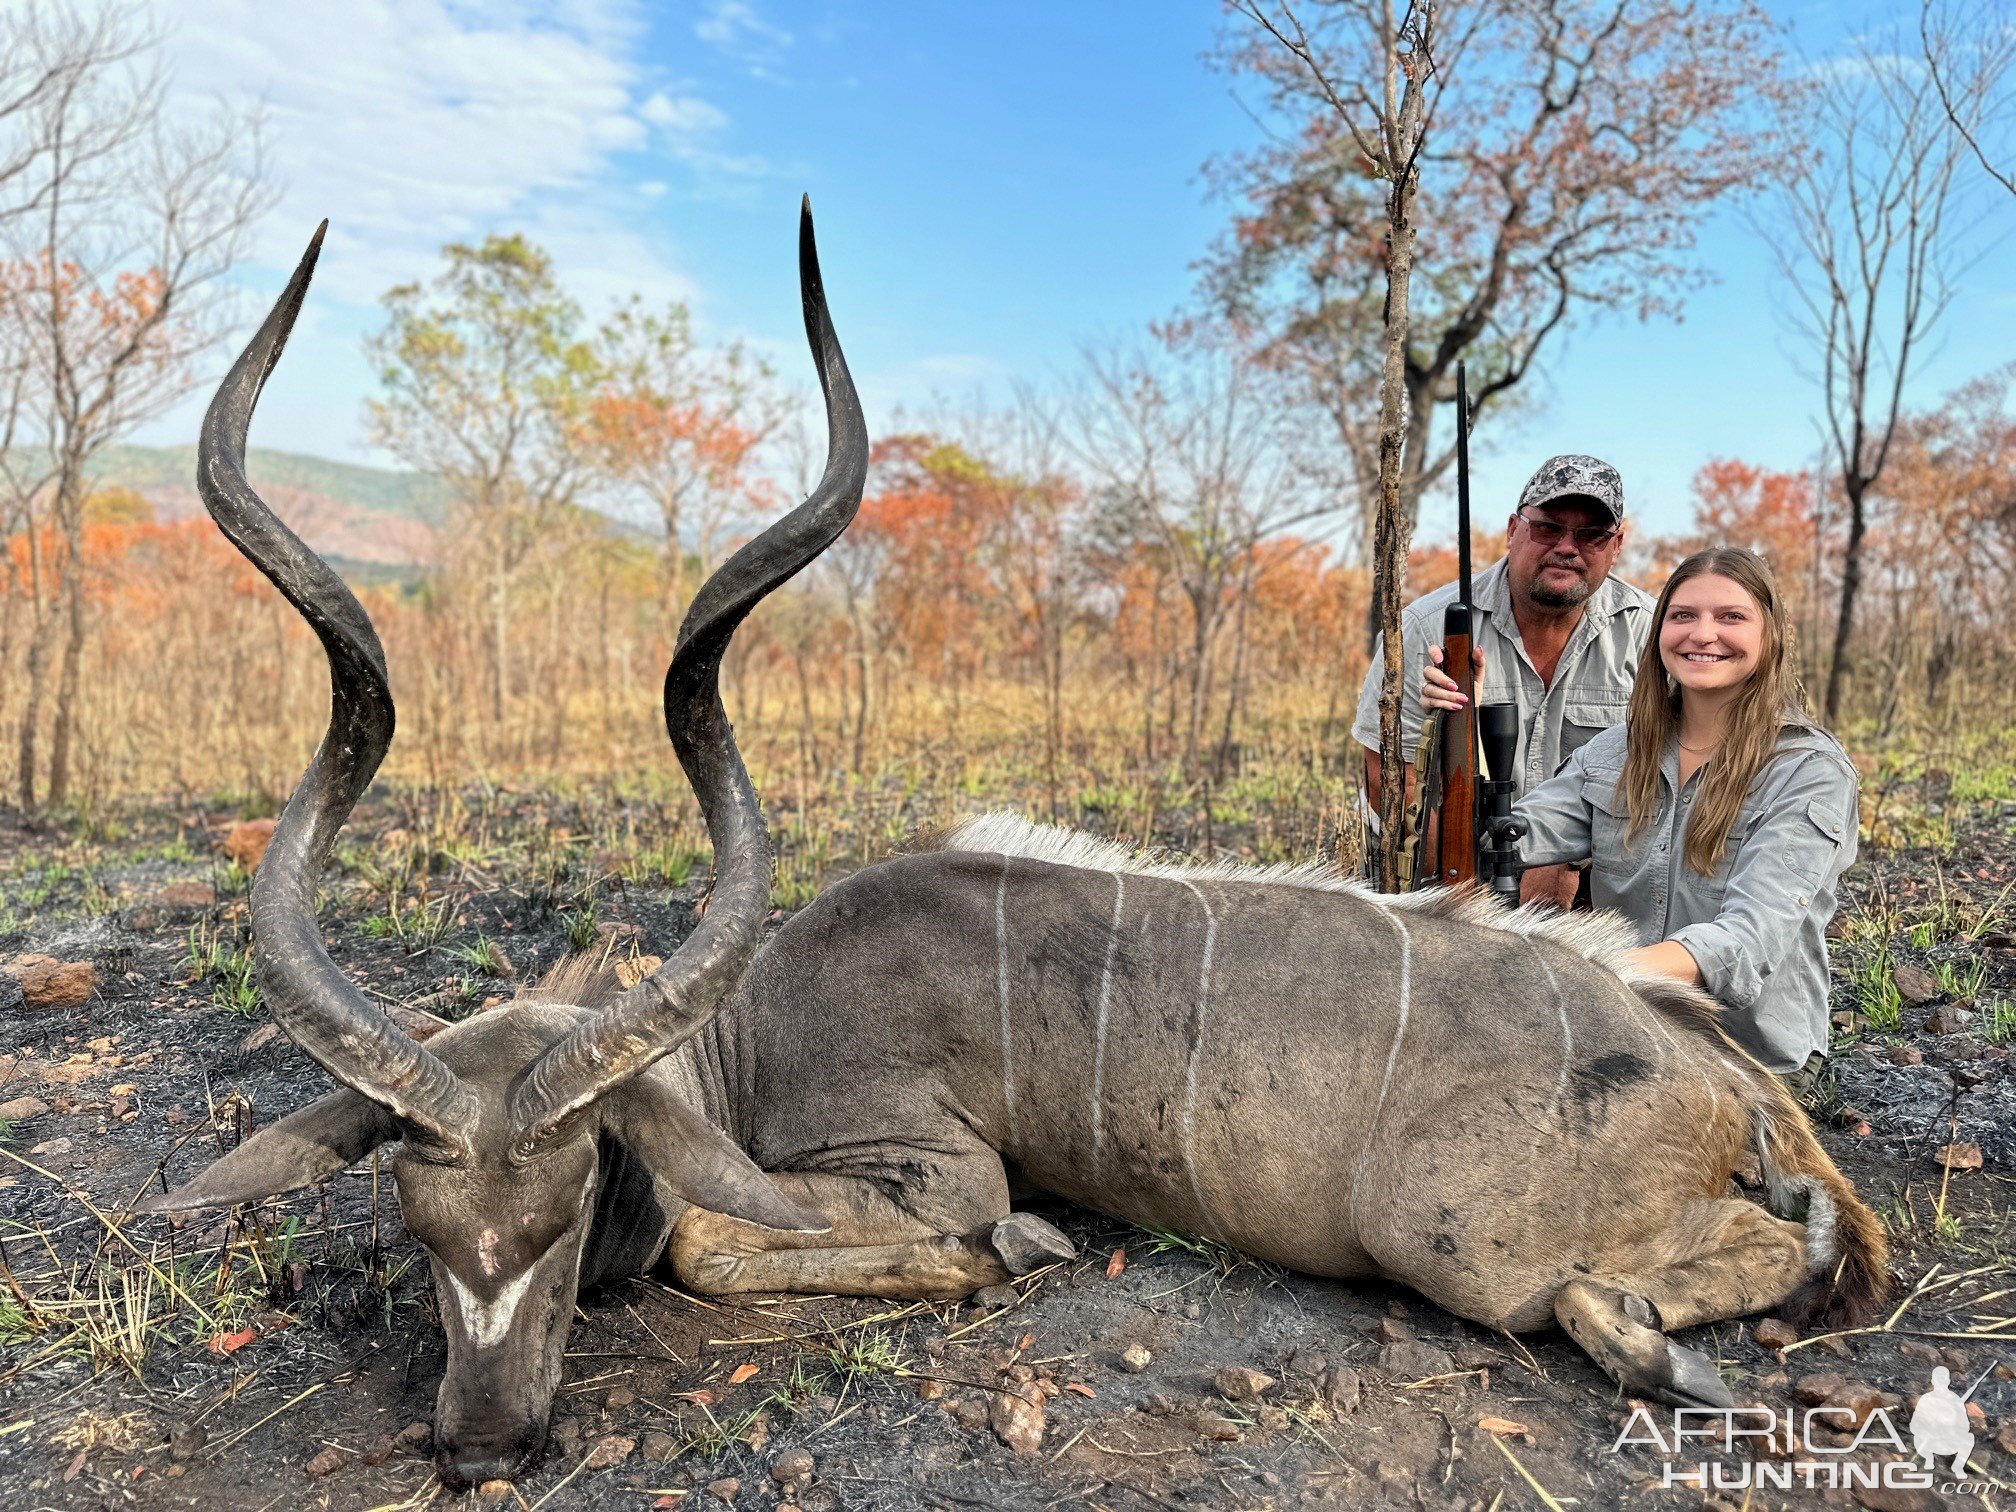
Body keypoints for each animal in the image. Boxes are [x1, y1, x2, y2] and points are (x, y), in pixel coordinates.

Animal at [146, 204, 1886, 1491]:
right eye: (419, 1227)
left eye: (569, 1215)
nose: (485, 1450)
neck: (743, 1034)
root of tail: (1724, 1075)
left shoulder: (921, 1159)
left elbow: (738, 1239)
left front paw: (1022, 1241)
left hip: (1464, 1240)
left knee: (1667, 1271)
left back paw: (1671, 1337)